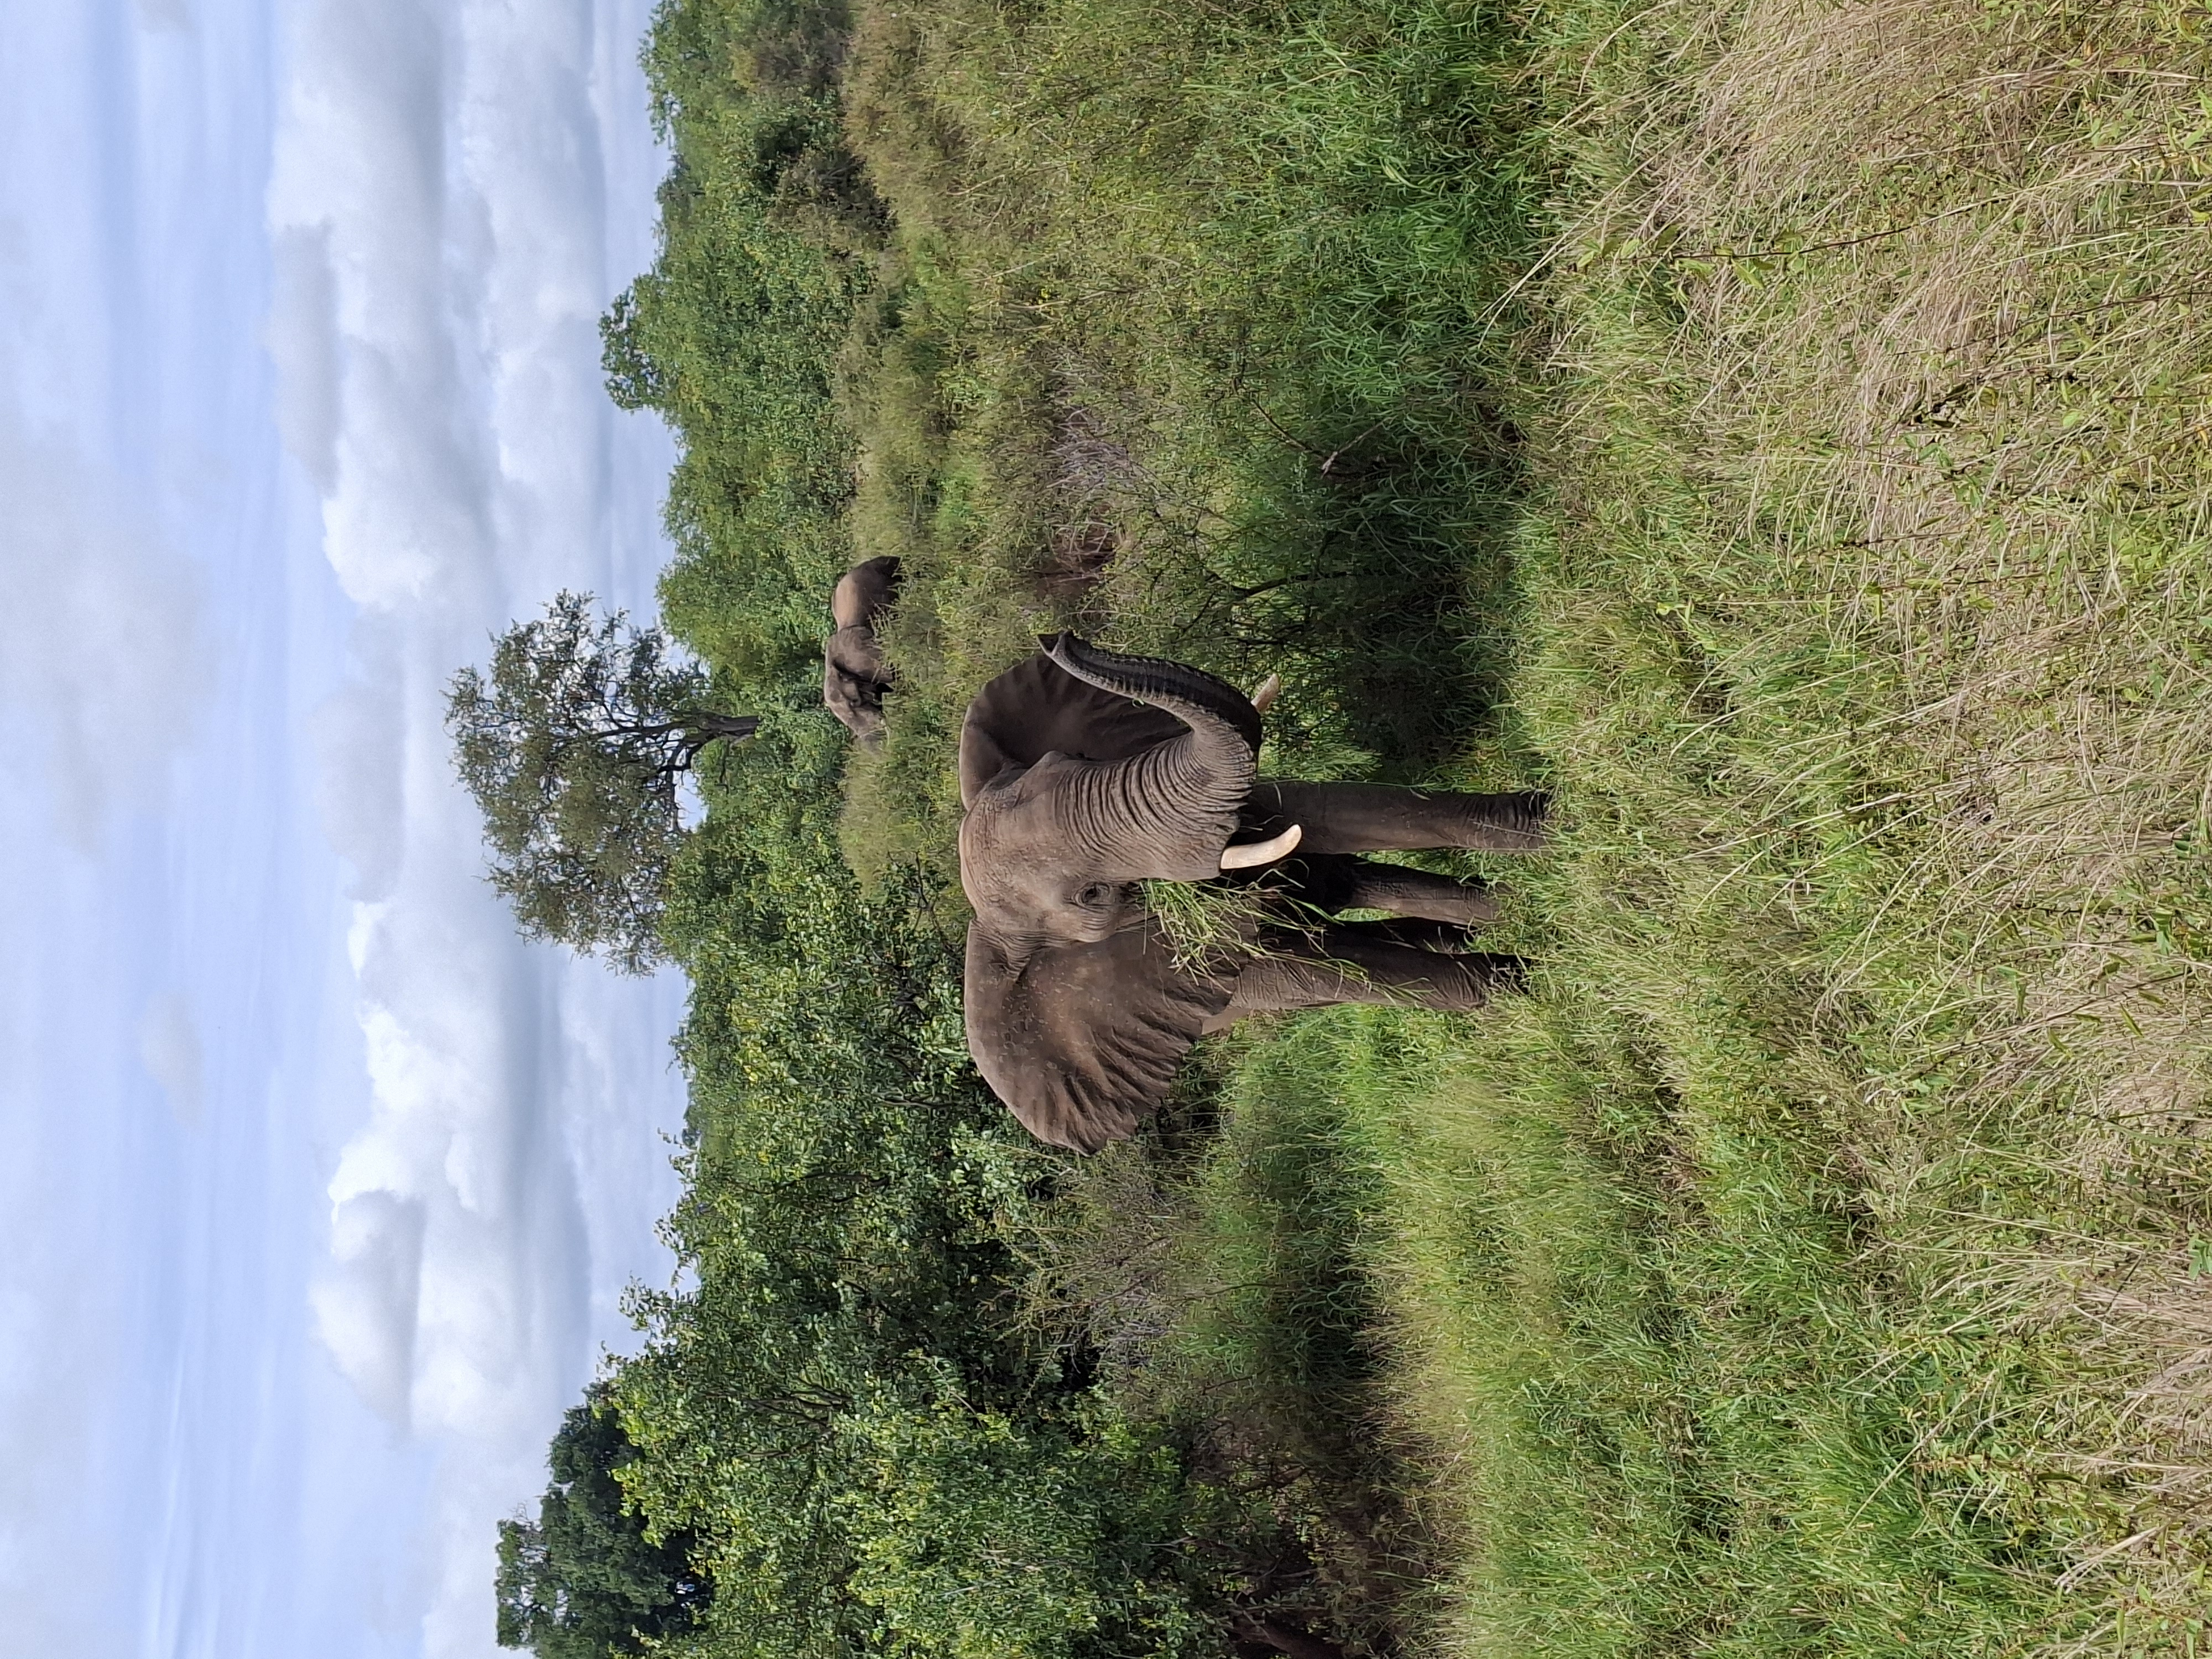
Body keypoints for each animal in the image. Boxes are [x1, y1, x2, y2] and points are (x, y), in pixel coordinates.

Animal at [959, 634, 1547, 1152]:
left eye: (1073, 759)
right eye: (1094, 896)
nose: (1057, 639)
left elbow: (1332, 812)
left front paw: (1558, 828)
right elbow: (1322, 967)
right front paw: (1538, 982)